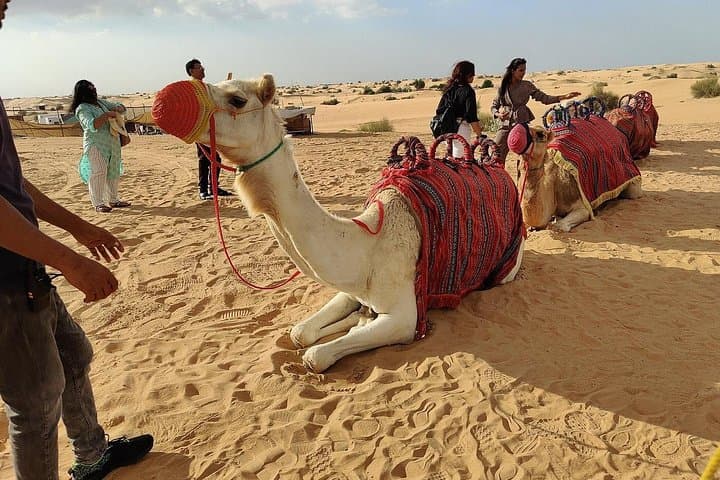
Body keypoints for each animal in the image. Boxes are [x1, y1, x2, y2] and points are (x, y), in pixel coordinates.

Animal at [151, 75, 525, 373]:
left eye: (237, 99)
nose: (161, 103)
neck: (367, 244)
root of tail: (500, 170)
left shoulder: (405, 318)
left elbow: (315, 356)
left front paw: (351, 327)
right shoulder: (351, 286)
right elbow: (300, 332)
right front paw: (353, 319)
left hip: (505, 269)